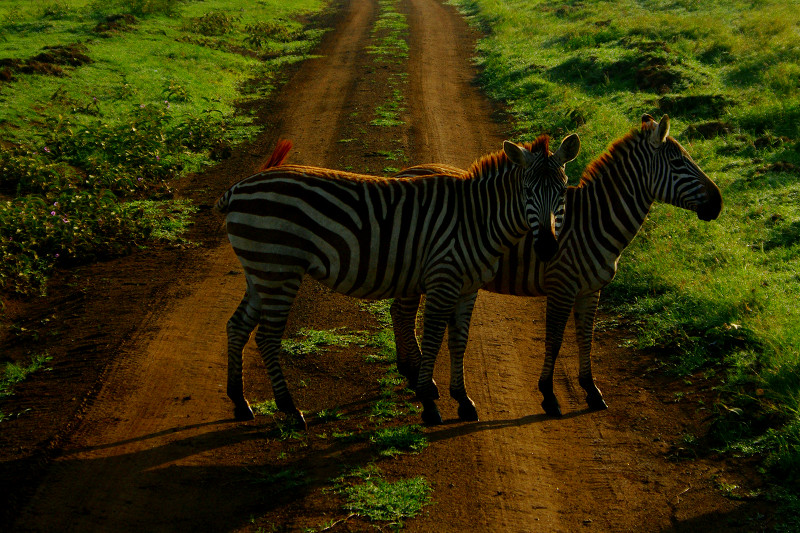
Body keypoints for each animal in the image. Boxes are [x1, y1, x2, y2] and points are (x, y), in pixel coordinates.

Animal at [214, 134, 580, 428]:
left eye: (563, 191)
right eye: (528, 191)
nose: (548, 247)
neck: (478, 218)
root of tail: (238, 187)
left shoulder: (467, 287)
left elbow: (458, 342)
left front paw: (463, 400)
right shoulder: (443, 279)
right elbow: (432, 339)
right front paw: (429, 403)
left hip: (260, 271)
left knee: (237, 326)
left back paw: (240, 402)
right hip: (279, 269)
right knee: (266, 338)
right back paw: (290, 409)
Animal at [390, 115, 720, 416]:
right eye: (679, 163)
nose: (718, 203)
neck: (595, 219)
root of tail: (405, 171)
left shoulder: (590, 290)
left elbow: (585, 338)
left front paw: (592, 390)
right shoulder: (562, 285)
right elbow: (555, 339)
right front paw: (549, 394)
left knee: (398, 311)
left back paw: (412, 373)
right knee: (403, 314)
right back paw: (418, 378)